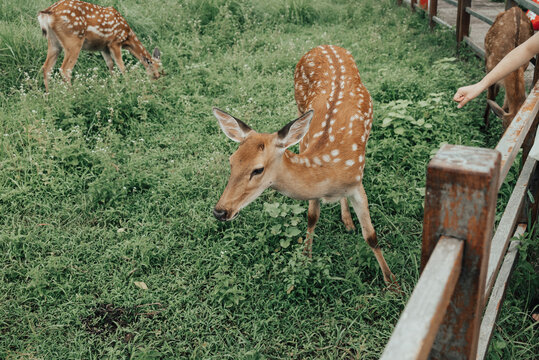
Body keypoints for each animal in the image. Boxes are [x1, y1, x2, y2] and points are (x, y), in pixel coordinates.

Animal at [213, 45, 398, 292]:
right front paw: (306, 258)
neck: (327, 168)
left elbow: (371, 236)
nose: (220, 211)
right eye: (231, 161)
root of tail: (327, 45)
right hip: (299, 106)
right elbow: (312, 217)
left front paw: (392, 283)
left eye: (258, 169)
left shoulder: (357, 183)